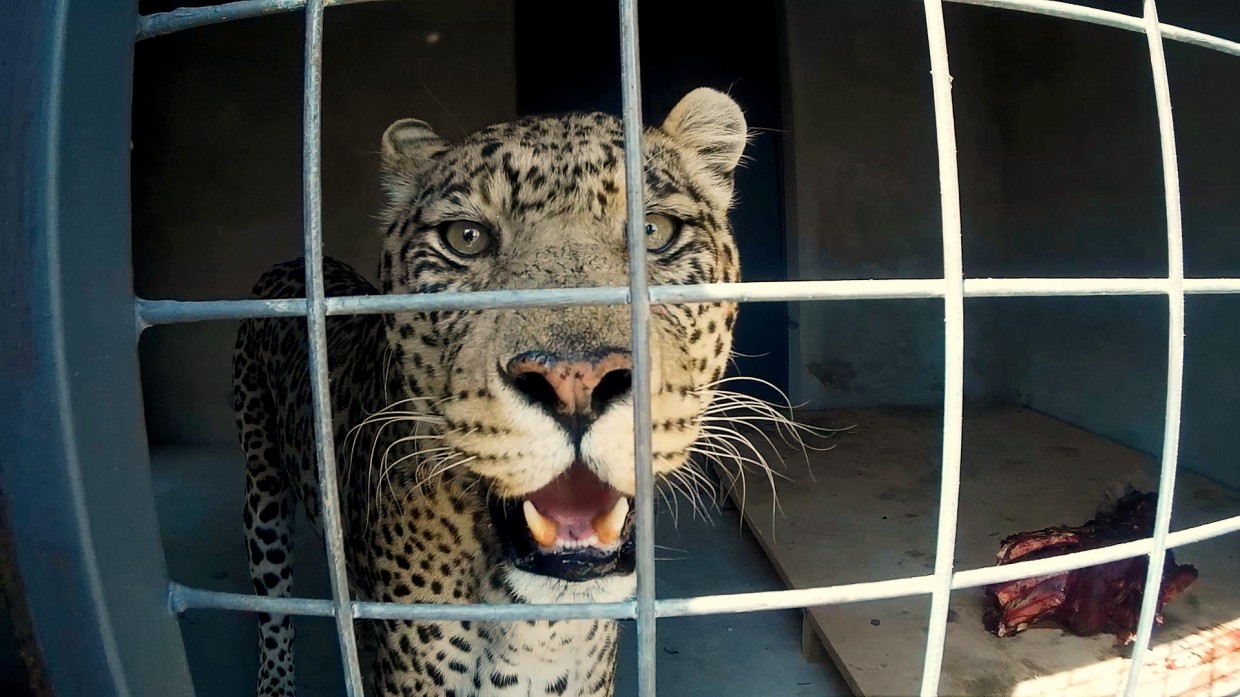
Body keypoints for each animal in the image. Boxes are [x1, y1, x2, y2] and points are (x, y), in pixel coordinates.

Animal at [233, 88, 753, 694]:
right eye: (466, 238)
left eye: (654, 230)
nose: (575, 381)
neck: (542, 626)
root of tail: (294, 261)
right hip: (261, 489)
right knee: (272, 607)